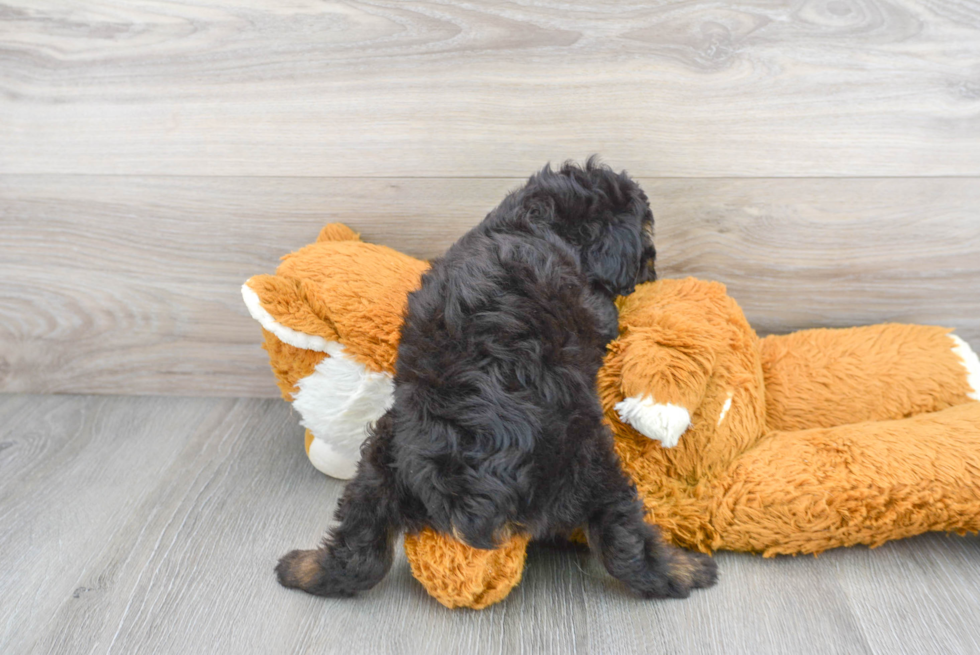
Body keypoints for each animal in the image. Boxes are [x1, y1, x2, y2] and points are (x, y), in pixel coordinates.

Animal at [278, 158, 720, 600]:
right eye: (645, 235)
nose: (652, 268)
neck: (538, 222)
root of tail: (480, 493)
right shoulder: (596, 310)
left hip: (382, 461)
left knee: (360, 547)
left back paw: (300, 568)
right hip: (591, 465)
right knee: (624, 542)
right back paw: (688, 569)